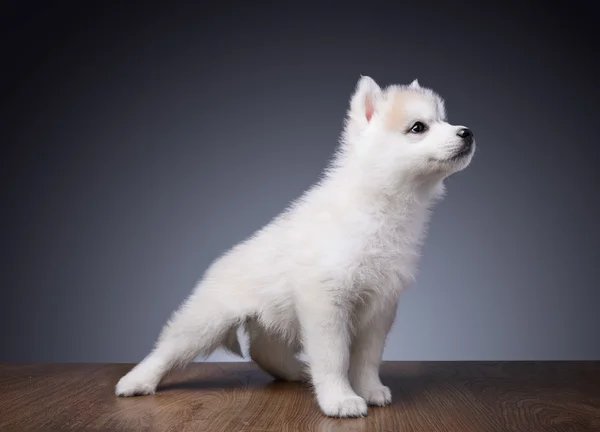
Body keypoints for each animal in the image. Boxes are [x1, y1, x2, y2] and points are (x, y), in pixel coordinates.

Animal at [115, 76, 476, 416]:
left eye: (443, 120)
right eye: (418, 127)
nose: (467, 132)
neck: (381, 207)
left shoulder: (380, 304)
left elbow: (368, 356)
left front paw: (370, 389)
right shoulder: (325, 299)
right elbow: (334, 357)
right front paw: (340, 399)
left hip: (274, 317)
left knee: (263, 350)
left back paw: (298, 372)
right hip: (207, 319)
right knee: (169, 347)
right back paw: (136, 381)